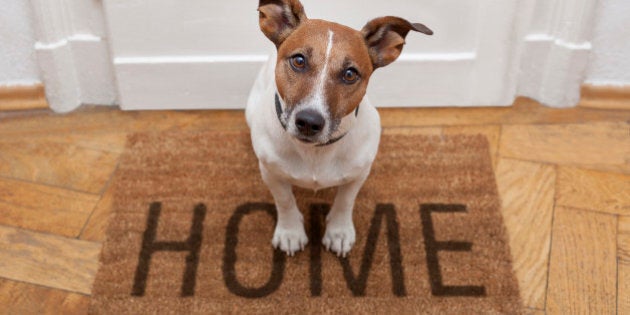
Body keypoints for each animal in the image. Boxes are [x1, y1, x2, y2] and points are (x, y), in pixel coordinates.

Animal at [247, 0, 434, 256]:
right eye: (298, 60)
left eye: (350, 74)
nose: (309, 122)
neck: (316, 152)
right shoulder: (271, 172)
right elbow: (284, 200)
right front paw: (290, 231)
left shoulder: (359, 173)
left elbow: (345, 201)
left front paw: (339, 231)